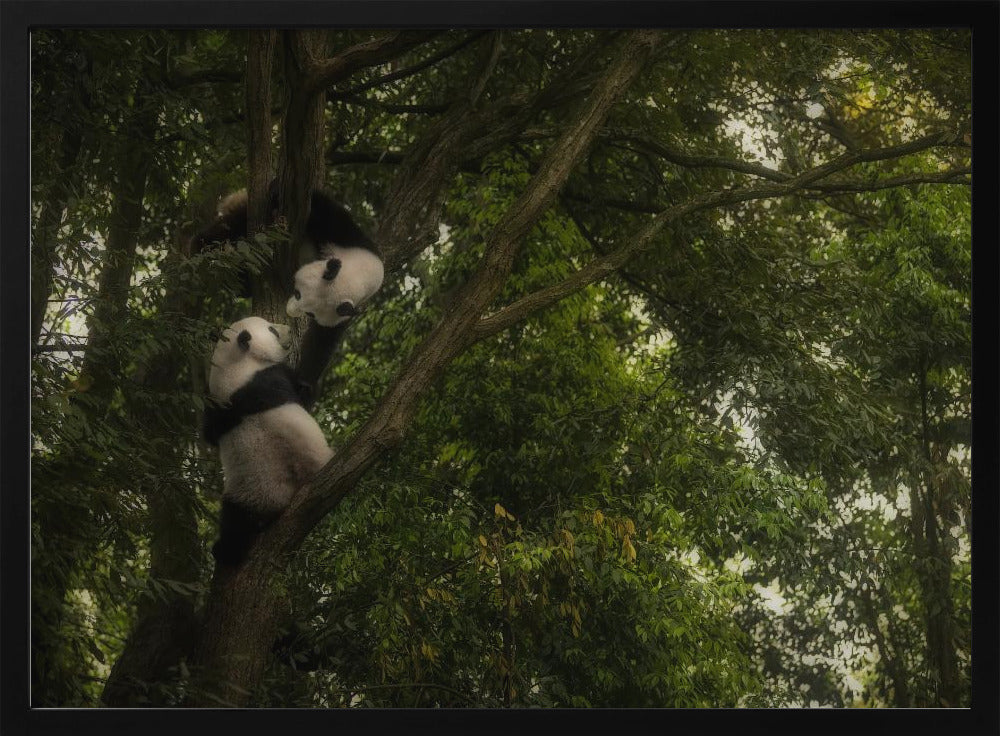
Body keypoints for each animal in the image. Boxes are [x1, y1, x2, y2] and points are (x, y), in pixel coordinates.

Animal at [203, 316, 334, 566]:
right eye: (272, 329)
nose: (289, 329)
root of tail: (274, 505)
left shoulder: (217, 408)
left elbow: (209, 434)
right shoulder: (271, 377)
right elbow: (302, 395)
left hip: (241, 493)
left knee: (233, 521)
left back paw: (225, 551)